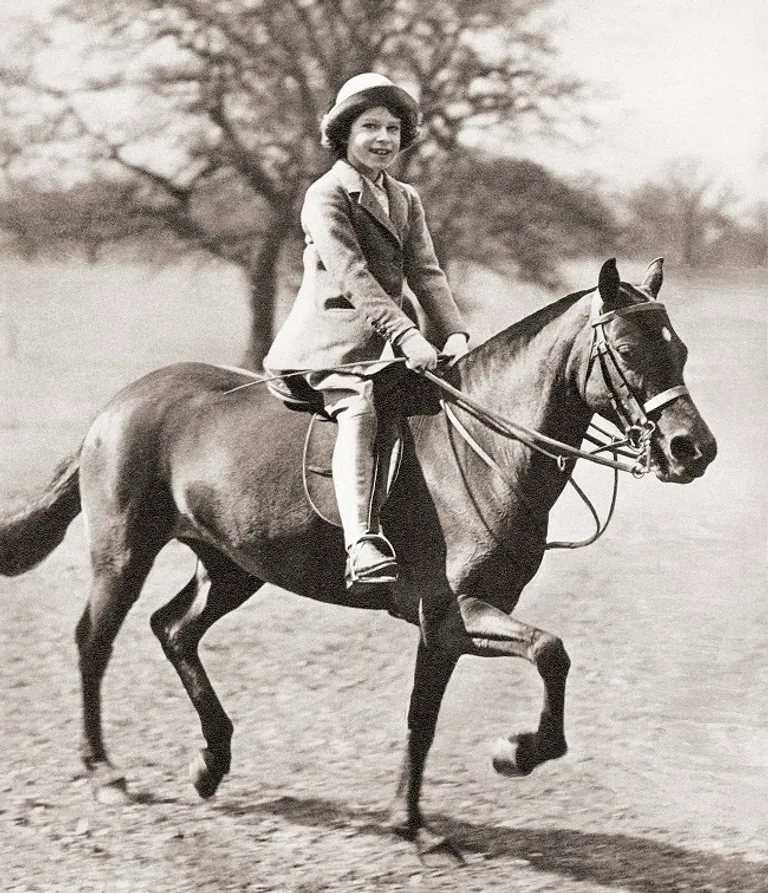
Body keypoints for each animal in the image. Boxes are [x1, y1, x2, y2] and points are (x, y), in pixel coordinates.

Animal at [3, 260, 716, 856]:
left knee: (173, 629)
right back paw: (105, 771)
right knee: (95, 641)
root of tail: (118, 404)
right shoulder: (456, 612)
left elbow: (424, 719)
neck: (487, 447)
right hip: (124, 554)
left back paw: (211, 762)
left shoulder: (447, 627)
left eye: (679, 349)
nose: (693, 450)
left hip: (233, 567)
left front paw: (413, 823)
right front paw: (513, 754)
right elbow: (550, 652)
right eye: (628, 351)